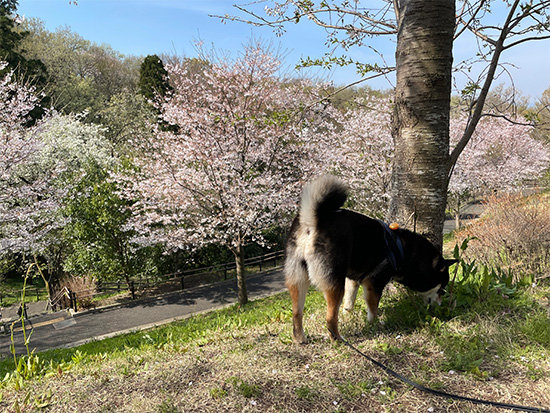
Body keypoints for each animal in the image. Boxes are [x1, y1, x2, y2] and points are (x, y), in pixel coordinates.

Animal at [284, 175, 458, 342]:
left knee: (297, 313)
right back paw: (337, 339)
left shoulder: (353, 279)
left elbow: (349, 301)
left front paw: (348, 314)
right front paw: (374, 323)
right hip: (334, 283)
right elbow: (373, 308)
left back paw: (300, 338)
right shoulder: (374, 283)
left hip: (299, 280)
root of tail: (313, 220)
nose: (440, 306)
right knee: (330, 317)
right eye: (442, 289)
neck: (402, 249)